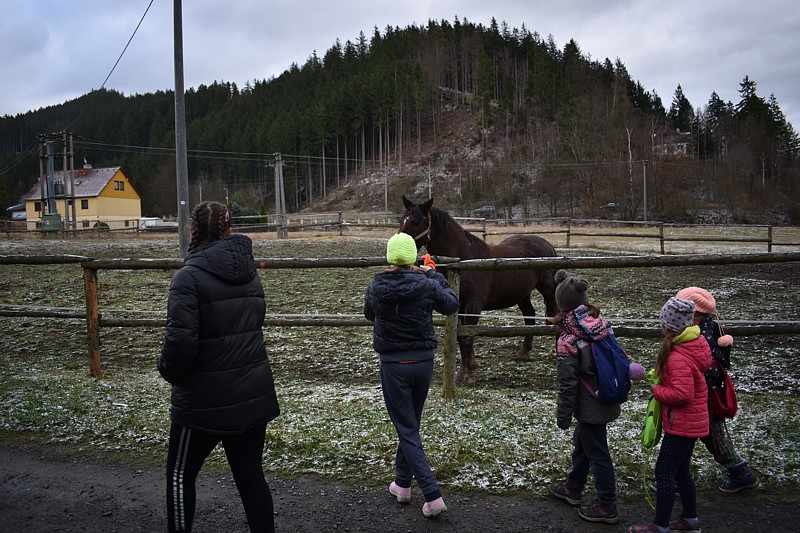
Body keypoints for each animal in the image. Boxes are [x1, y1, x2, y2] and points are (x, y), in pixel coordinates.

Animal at [398, 194, 560, 382]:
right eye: (402, 219)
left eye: (416, 221)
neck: (463, 260)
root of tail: (547, 245)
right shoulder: (459, 306)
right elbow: (461, 337)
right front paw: (462, 372)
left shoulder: (474, 304)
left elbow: (469, 337)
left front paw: (471, 374)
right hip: (522, 294)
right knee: (530, 316)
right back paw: (524, 353)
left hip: (547, 289)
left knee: (555, 314)